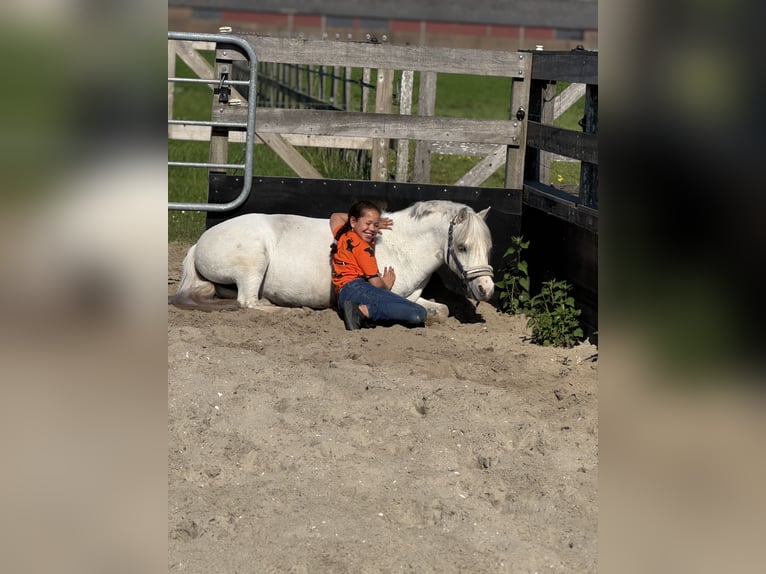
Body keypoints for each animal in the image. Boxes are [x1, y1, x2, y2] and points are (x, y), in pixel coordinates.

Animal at [169, 200, 494, 320]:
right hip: (253, 263)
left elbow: (439, 308)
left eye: (488, 247)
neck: (402, 246)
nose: (486, 289)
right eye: (463, 247)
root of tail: (199, 244)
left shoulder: (414, 295)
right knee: (247, 302)